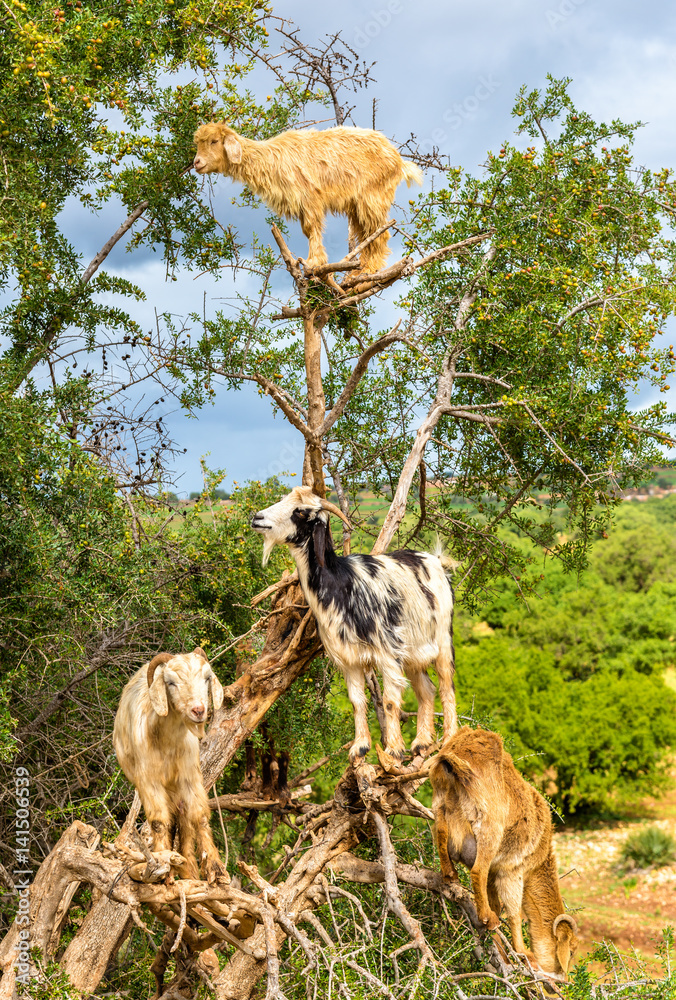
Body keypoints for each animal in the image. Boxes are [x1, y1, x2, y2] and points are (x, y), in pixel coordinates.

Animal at [111, 648, 227, 884]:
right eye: (171, 682)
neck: (167, 742)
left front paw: (215, 869)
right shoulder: (148, 781)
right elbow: (158, 822)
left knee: (184, 823)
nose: (198, 710)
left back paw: (190, 871)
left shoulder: (190, 775)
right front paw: (163, 867)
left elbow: (199, 816)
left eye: (207, 678)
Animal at [191, 125, 422, 282]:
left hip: (373, 197)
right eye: (198, 143)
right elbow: (307, 230)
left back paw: (368, 270)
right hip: (358, 204)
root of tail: (398, 159)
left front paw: (313, 263)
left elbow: (312, 229)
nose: (197, 163)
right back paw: (357, 272)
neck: (271, 160)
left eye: (214, 141)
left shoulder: (310, 198)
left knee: (379, 233)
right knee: (366, 234)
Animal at [251, 488, 456, 760]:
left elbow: (389, 702)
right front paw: (360, 747)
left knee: (446, 686)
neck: (341, 582)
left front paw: (393, 749)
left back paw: (449, 738)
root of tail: (435, 561)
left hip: (442, 639)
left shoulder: (388, 653)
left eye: (301, 511)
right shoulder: (349, 659)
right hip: (413, 652)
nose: (257, 517)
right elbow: (357, 702)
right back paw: (421, 742)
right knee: (427, 690)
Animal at [430, 728, 580, 976]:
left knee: (441, 835)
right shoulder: (512, 870)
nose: (564, 979)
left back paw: (450, 875)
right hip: (490, 827)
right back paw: (487, 919)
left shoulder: (495, 874)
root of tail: (455, 761)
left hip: (440, 805)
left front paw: (501, 953)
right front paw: (524, 954)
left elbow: (497, 904)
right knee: (477, 871)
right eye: (570, 952)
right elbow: (514, 912)